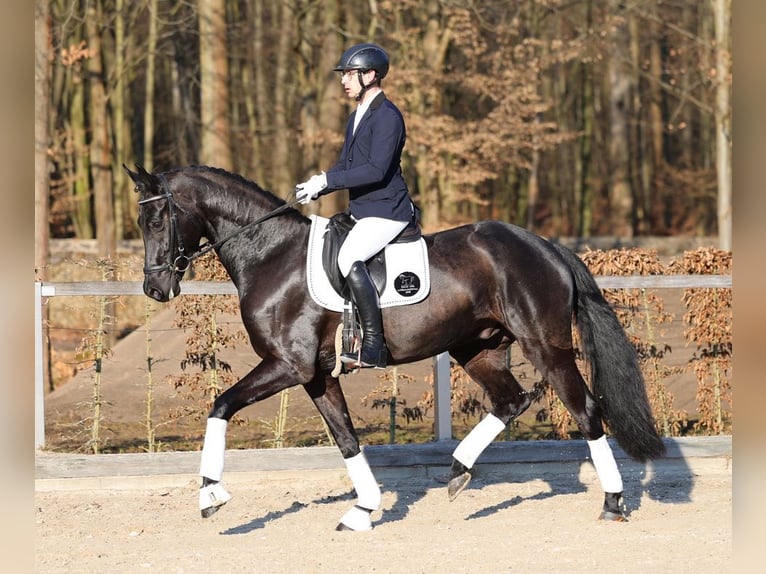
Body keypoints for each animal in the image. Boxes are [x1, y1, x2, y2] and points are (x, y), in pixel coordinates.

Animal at [125, 163, 665, 530]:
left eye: (158, 221)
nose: (155, 289)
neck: (271, 255)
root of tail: (546, 245)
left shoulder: (287, 365)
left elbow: (220, 406)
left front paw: (210, 495)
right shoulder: (316, 375)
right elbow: (346, 439)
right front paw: (363, 510)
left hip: (546, 347)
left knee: (586, 410)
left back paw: (613, 503)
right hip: (477, 348)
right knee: (512, 400)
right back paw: (458, 471)